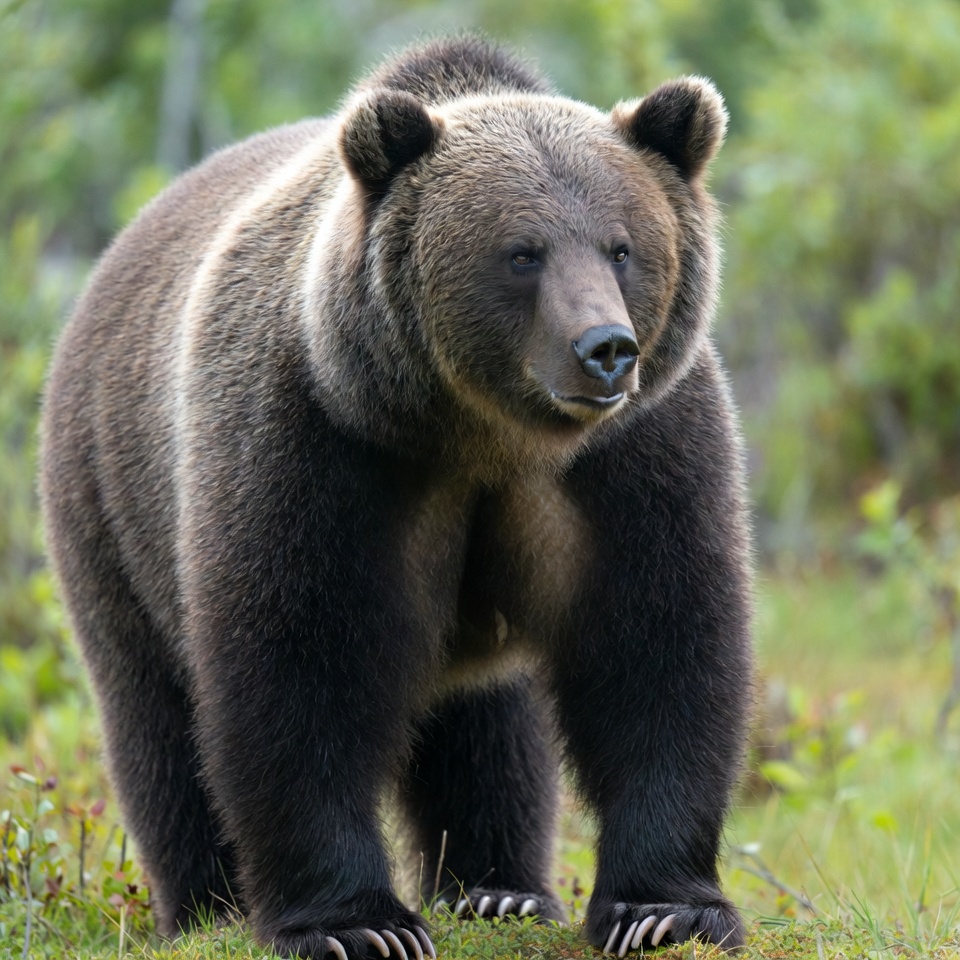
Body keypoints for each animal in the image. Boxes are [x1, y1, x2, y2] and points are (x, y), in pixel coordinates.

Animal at [40, 35, 753, 960]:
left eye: (622, 246)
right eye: (522, 251)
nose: (604, 349)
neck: (483, 433)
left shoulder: (633, 457)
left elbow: (661, 646)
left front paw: (663, 908)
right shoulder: (318, 445)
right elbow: (297, 666)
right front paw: (356, 923)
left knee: (488, 726)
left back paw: (499, 889)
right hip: (109, 506)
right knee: (156, 720)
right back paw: (206, 906)